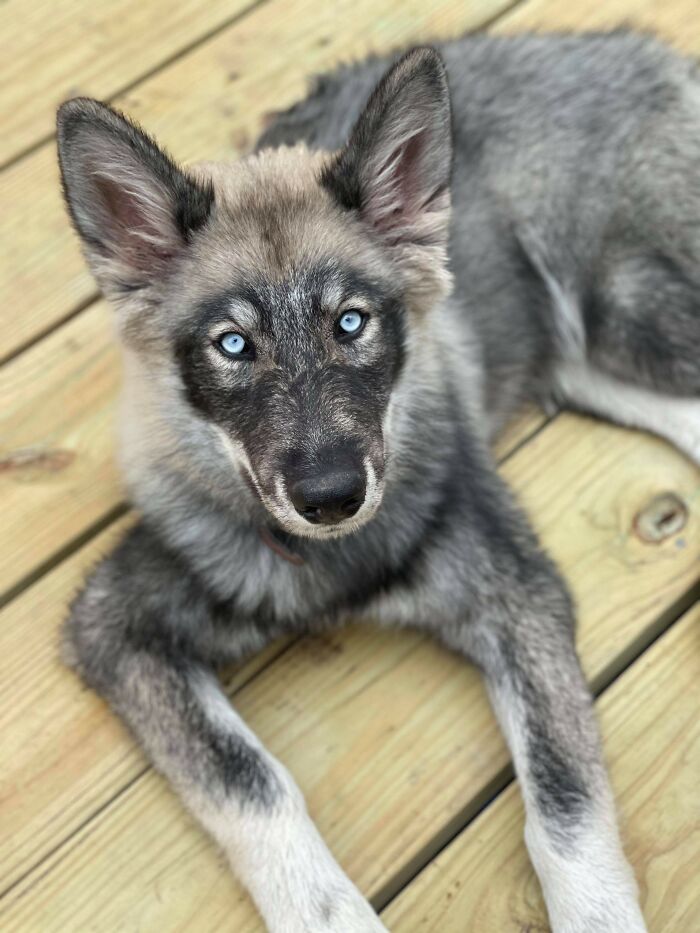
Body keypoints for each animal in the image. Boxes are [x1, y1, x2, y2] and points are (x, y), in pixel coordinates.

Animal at [56, 30, 700, 932]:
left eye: (351, 322)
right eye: (232, 344)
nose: (332, 495)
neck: (330, 561)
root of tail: (648, 52)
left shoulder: (520, 593)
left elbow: (564, 802)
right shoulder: (118, 627)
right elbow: (252, 781)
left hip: (626, 310)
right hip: (584, 352)